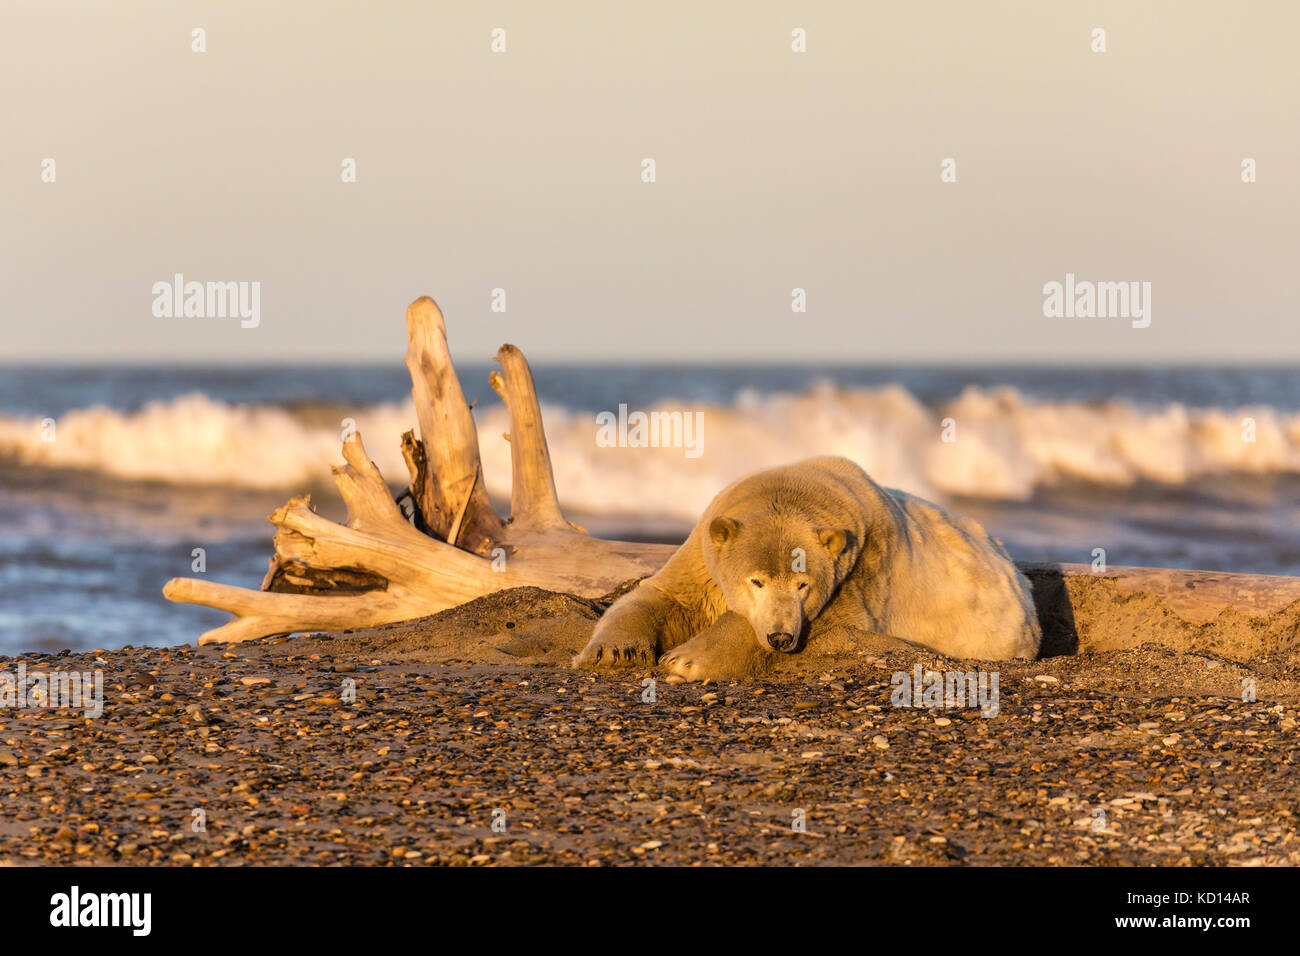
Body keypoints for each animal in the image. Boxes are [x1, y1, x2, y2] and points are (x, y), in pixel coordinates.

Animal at [574, 455, 1040, 681]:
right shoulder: (703, 556)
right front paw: (612, 652)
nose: (780, 637)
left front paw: (685, 659)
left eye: (803, 584)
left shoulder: (860, 572)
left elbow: (826, 622)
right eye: (756, 580)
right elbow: (665, 596)